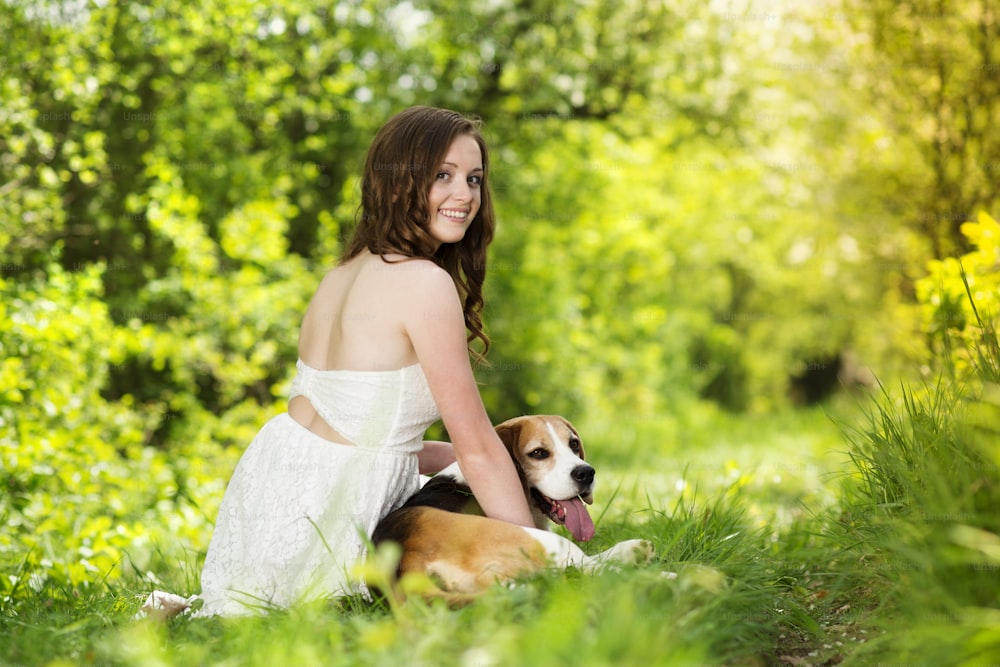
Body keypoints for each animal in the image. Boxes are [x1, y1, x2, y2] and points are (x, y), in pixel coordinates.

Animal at [372, 414, 652, 596]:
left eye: (573, 444)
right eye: (538, 453)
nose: (586, 473)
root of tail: (404, 559)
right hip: (539, 540)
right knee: (592, 571)